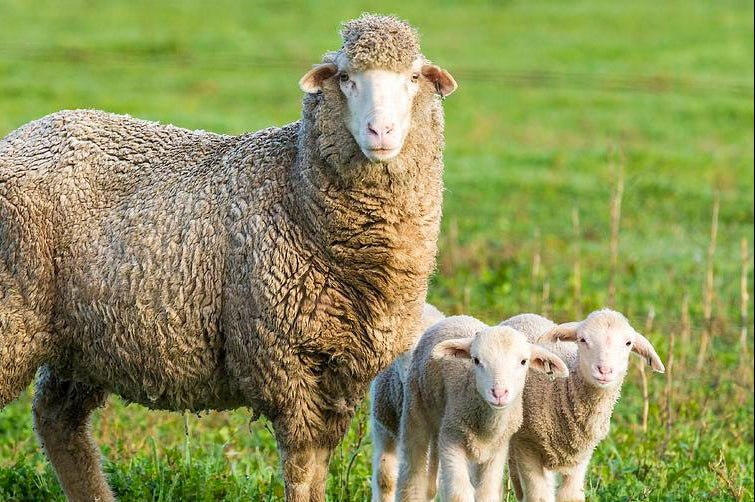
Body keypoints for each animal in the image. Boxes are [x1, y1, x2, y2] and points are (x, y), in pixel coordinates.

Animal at [395, 316, 569, 502]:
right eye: (476, 360)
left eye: (523, 361)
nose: (499, 393)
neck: (487, 425)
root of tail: (455, 317)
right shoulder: (451, 436)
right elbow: (459, 494)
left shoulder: (497, 448)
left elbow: (487, 493)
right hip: (415, 407)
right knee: (412, 472)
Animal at [499, 310, 665, 502]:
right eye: (583, 340)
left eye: (628, 343)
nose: (604, 370)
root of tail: (524, 315)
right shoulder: (527, 444)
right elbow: (539, 496)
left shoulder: (582, 456)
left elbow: (570, 496)